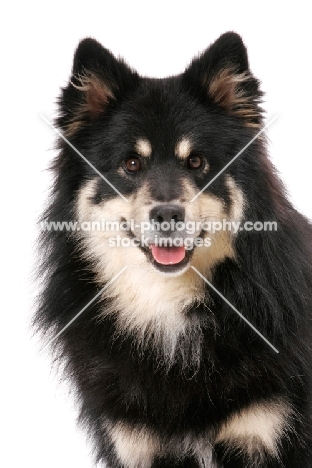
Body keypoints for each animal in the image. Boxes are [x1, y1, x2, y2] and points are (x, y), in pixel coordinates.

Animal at [37, 33, 312, 468]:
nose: (168, 214)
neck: (167, 305)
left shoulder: (266, 431)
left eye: (196, 162)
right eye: (131, 164)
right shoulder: (137, 443)